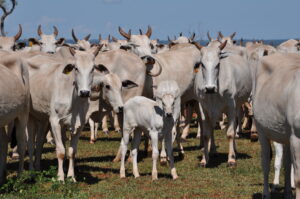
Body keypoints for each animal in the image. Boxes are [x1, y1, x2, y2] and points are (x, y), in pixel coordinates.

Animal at [253, 53, 300, 199]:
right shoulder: (296, 137)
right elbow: (298, 178)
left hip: (286, 135)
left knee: (287, 163)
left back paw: (288, 193)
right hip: (261, 129)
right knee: (265, 162)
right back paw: (266, 193)